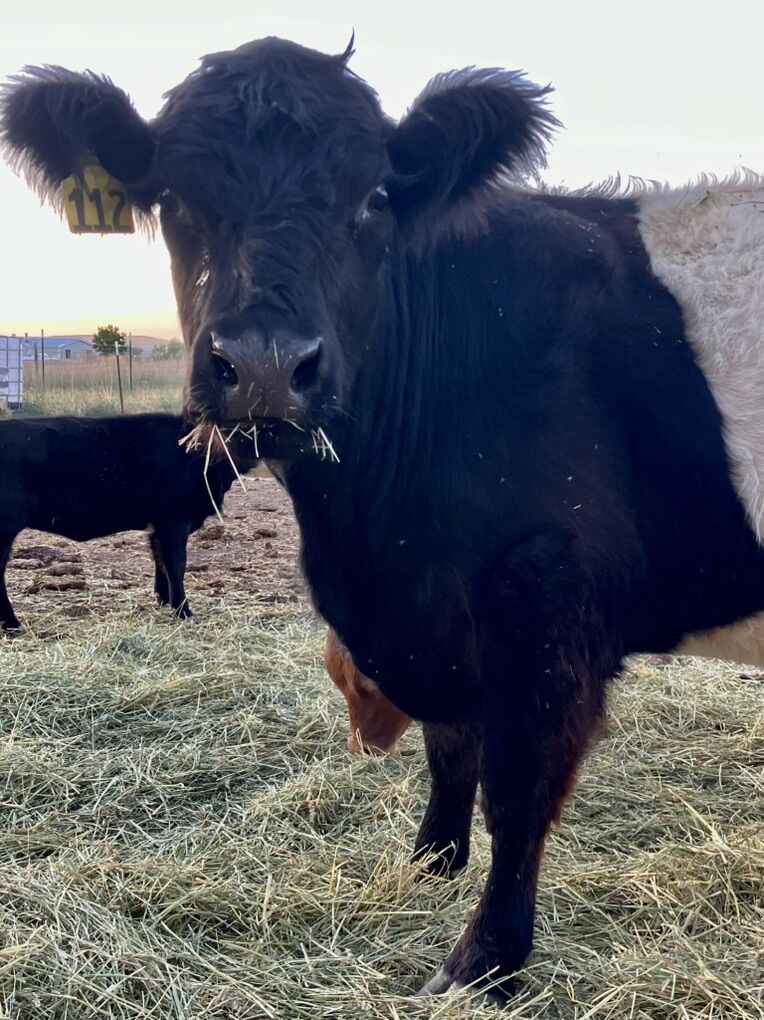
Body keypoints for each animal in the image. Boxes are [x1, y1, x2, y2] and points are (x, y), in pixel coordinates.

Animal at [0, 413, 255, 629]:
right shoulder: (174, 520)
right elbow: (176, 564)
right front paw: (183, 611)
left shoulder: (158, 527)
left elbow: (160, 561)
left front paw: (164, 601)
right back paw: (13, 624)